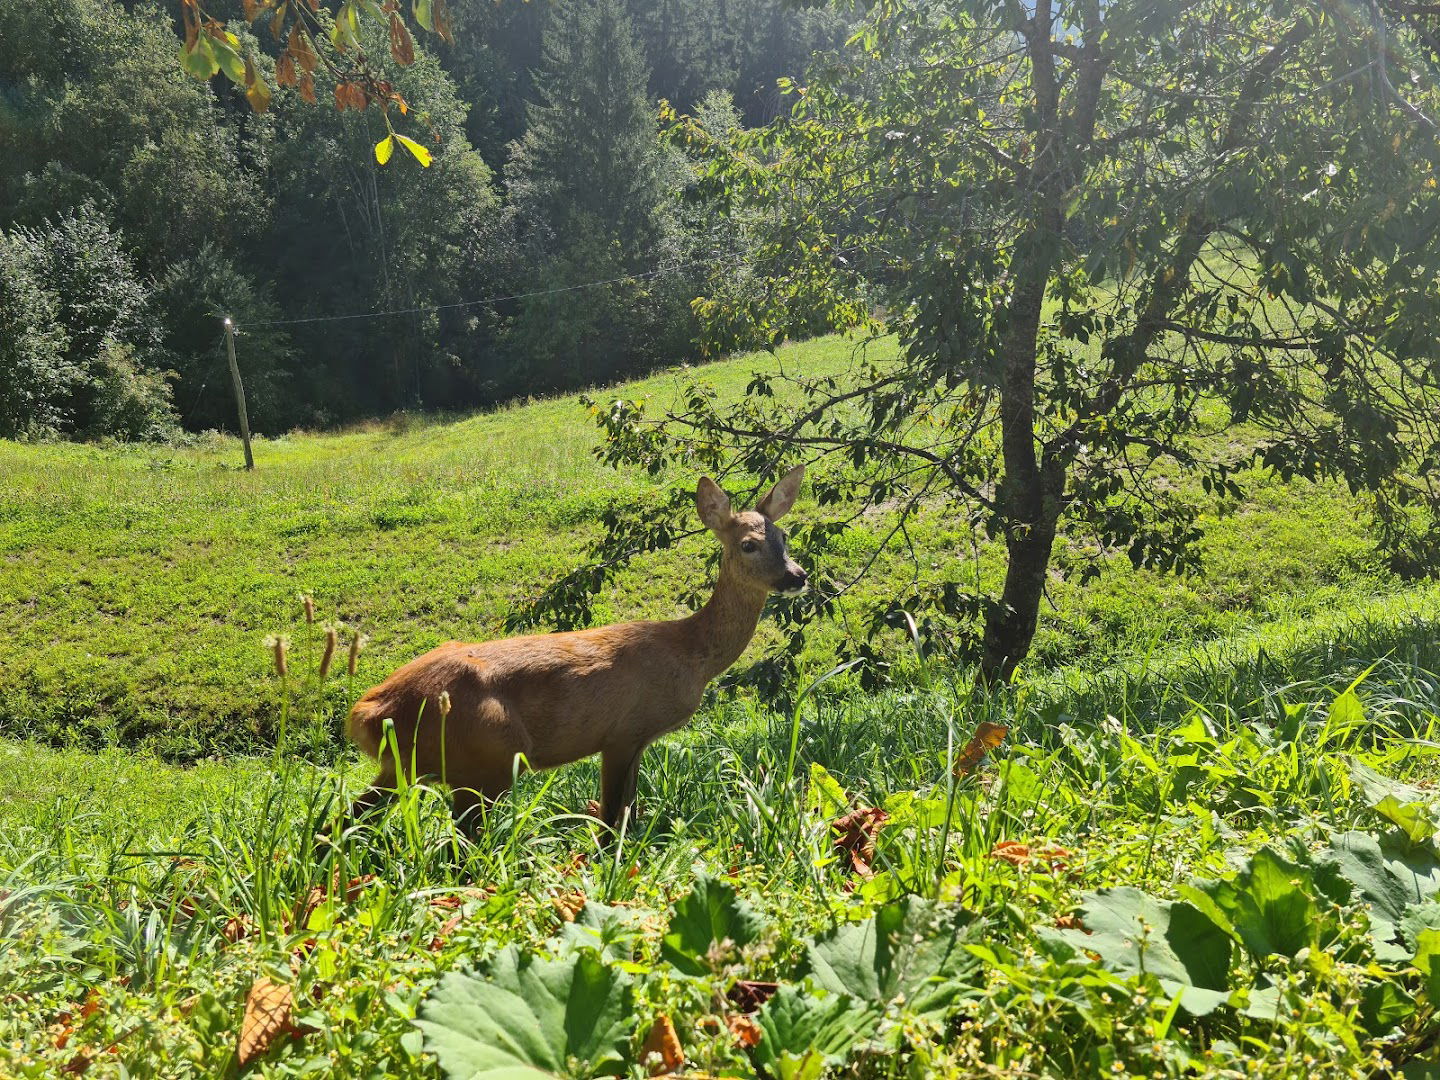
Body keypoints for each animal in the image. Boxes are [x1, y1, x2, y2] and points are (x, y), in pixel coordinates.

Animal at [339, 466, 812, 835]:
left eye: (784, 536)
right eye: (749, 544)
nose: (797, 576)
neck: (688, 655)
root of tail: (369, 713)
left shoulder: (638, 741)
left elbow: (627, 813)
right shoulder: (622, 732)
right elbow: (610, 819)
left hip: (411, 766)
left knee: (346, 821)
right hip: (485, 756)